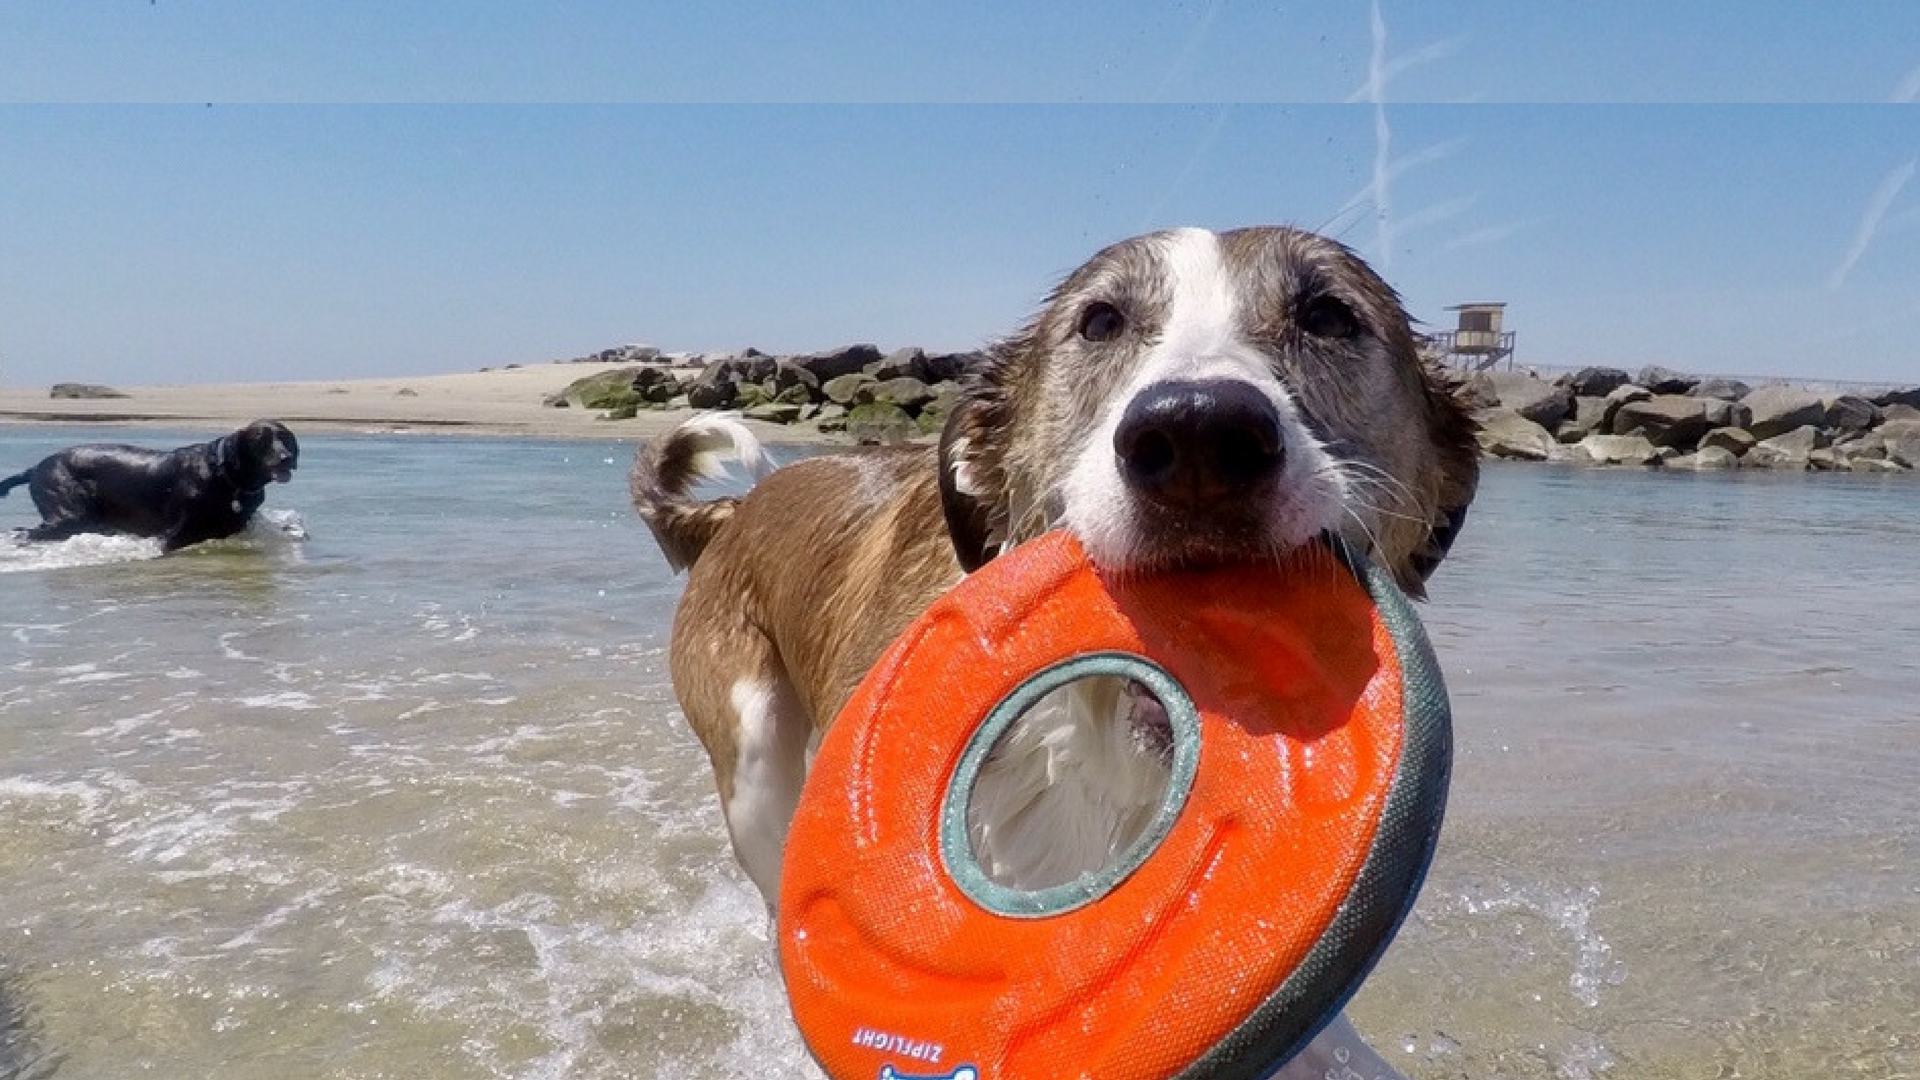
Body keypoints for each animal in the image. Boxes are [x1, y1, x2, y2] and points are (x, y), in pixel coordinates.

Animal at [0, 418, 299, 549]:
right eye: (261, 439)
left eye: (285, 438)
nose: (285, 458)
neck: (226, 476)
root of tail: (35, 468)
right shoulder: (173, 533)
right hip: (69, 514)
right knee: (28, 532)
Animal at [637, 226, 1474, 1068]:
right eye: (1100, 320)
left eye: (1329, 316)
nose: (1199, 433)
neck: (1102, 761)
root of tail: (737, 507)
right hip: (753, 766)